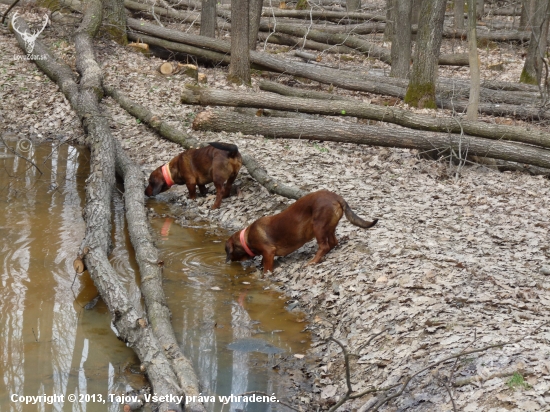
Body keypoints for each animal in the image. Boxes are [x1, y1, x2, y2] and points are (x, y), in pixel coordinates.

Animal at [225, 190, 380, 274]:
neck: (246, 239)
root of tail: (336, 197)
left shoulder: (268, 252)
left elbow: (266, 268)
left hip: (318, 226)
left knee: (324, 246)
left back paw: (313, 261)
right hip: (328, 228)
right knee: (333, 242)